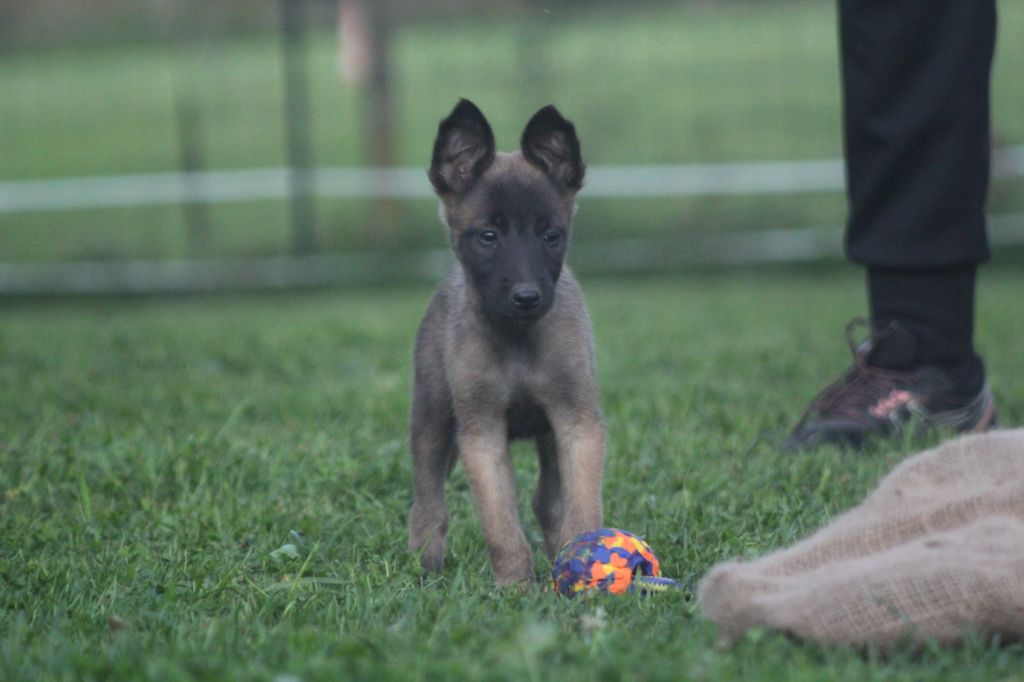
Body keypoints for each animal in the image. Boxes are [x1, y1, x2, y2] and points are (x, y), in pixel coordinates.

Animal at [405, 99, 602, 585]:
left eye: (551, 235)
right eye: (488, 236)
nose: (527, 297)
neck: (518, 340)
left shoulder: (577, 423)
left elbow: (582, 508)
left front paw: (586, 568)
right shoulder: (481, 432)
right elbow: (500, 523)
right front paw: (514, 585)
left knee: (547, 502)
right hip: (432, 418)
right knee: (428, 503)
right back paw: (424, 567)